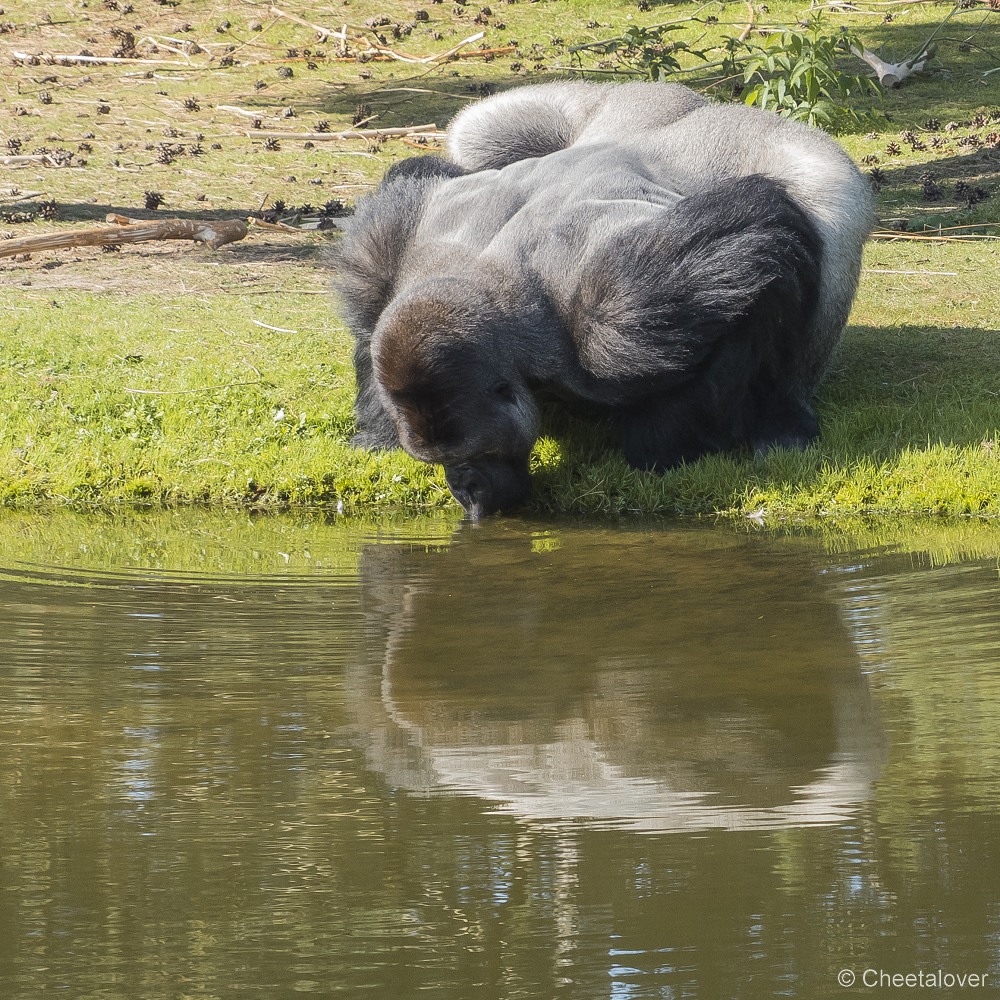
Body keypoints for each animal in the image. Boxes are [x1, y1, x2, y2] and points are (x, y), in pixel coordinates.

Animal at [332, 82, 872, 520]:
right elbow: (372, 315)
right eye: (440, 462)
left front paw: (662, 441)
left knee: (822, 211)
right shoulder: (391, 248)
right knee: (476, 132)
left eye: (474, 455)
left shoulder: (619, 321)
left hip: (809, 157)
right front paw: (377, 429)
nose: (467, 492)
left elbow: (760, 264)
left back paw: (784, 417)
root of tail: (719, 105)